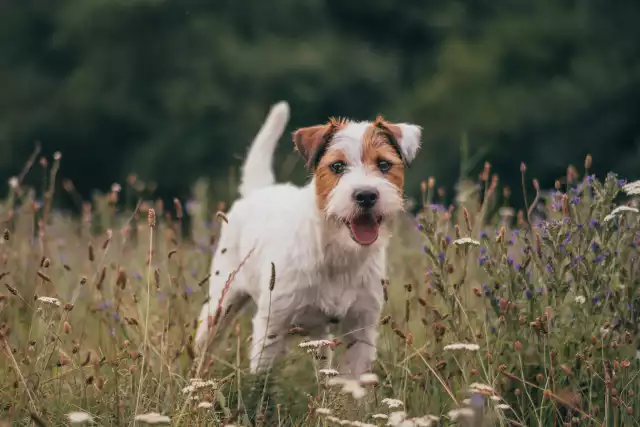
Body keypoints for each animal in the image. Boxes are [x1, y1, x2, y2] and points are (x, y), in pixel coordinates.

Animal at [198, 101, 422, 378]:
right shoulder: (272, 326)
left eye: (383, 164)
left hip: (319, 336)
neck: (336, 251)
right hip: (220, 304)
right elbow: (262, 380)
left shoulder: (360, 328)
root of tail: (259, 191)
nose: (366, 195)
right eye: (337, 166)